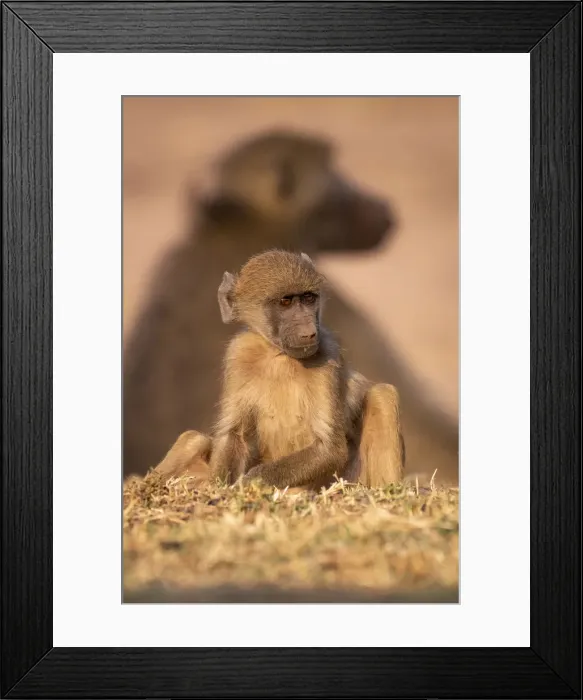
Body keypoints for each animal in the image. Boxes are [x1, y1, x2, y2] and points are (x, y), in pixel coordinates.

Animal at [154, 250, 404, 490]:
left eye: (309, 298)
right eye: (285, 302)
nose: (309, 333)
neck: (279, 356)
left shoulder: (327, 350)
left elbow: (330, 448)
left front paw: (249, 484)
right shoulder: (238, 353)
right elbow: (235, 435)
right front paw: (222, 491)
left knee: (382, 394)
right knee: (194, 438)